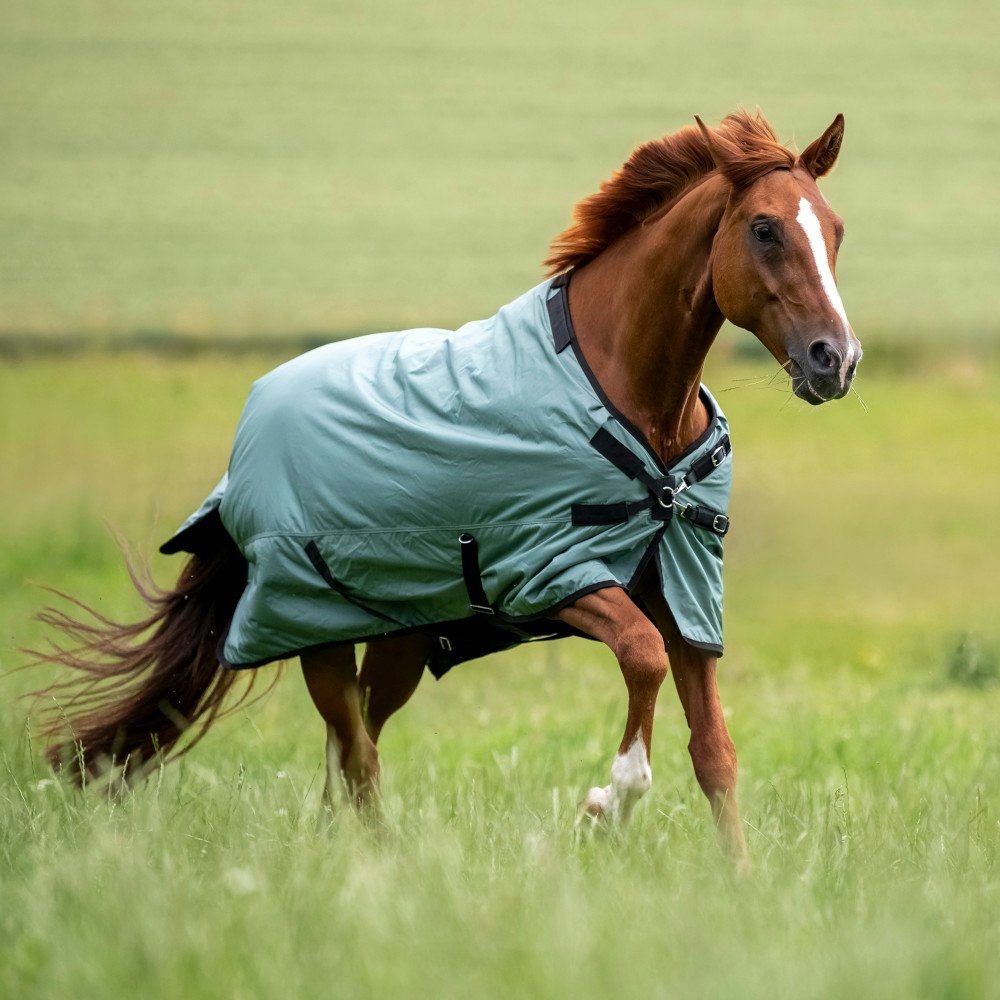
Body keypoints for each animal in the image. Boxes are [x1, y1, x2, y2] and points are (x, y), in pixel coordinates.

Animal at [32, 111, 860, 869]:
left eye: (836, 230)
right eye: (763, 229)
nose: (837, 360)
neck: (635, 412)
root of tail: (252, 421)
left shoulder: (684, 593)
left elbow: (714, 750)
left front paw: (740, 881)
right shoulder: (553, 573)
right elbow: (642, 657)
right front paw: (605, 805)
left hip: (397, 638)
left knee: (349, 750)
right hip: (314, 632)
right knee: (356, 754)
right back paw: (385, 864)